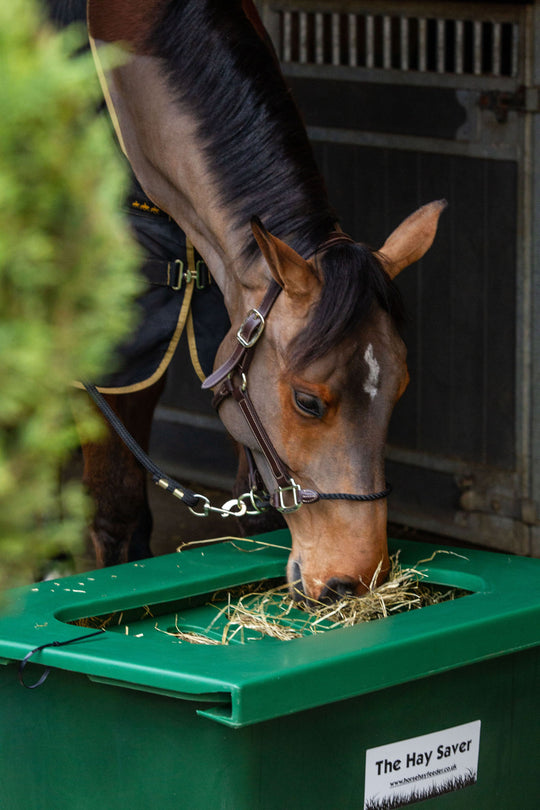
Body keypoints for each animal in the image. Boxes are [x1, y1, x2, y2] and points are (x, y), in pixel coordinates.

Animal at [84, 0, 446, 604]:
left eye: (401, 387)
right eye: (307, 402)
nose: (353, 581)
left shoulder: (226, 339)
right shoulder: (120, 346)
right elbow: (116, 514)